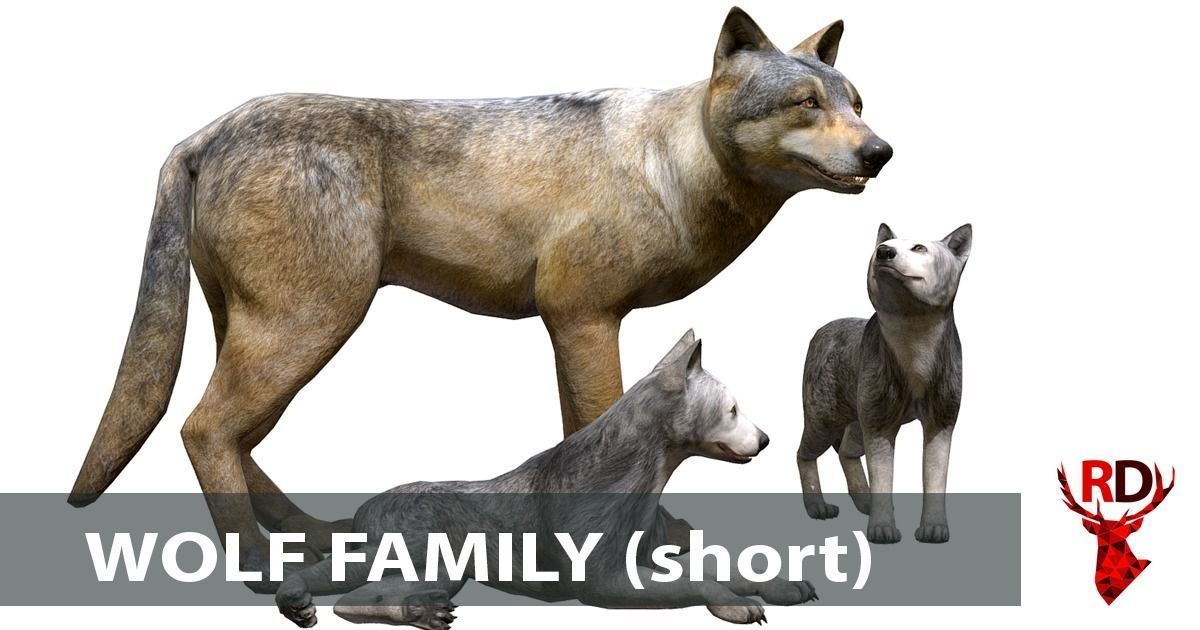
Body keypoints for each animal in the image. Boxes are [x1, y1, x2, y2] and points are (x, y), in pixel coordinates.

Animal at [68, 7, 892, 571]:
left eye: (855, 102)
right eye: (806, 104)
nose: (882, 153)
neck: (673, 170)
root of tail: (203, 133)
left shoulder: (574, 325)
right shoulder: (585, 318)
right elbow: (601, 431)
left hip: (274, 338)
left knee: (236, 438)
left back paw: (317, 540)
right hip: (309, 329)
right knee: (203, 428)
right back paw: (263, 569)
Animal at [273, 331, 814, 627]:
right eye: (733, 409)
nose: (766, 439)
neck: (641, 475)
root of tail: (367, 504)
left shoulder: (644, 561)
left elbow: (721, 566)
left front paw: (780, 585)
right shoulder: (605, 583)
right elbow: (698, 580)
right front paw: (735, 606)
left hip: (434, 571)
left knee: (356, 600)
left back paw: (418, 613)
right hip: (419, 553)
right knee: (337, 594)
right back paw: (297, 597)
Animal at [796, 224, 971, 544]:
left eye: (919, 248)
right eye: (883, 246)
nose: (884, 252)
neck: (914, 339)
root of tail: (821, 330)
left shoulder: (941, 421)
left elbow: (935, 477)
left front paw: (934, 529)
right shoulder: (878, 424)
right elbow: (883, 476)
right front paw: (882, 530)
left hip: (856, 417)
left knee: (847, 451)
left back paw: (863, 501)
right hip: (824, 416)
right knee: (804, 453)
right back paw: (817, 506)